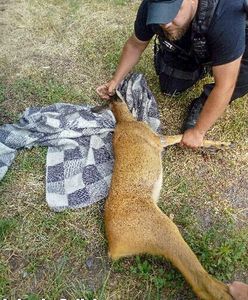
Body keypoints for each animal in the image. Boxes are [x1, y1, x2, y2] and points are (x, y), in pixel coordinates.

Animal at [99, 95, 232, 298]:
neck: (125, 121)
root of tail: (113, 246)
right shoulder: (156, 139)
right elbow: (179, 136)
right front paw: (221, 144)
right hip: (164, 231)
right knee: (200, 279)